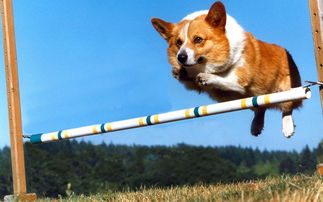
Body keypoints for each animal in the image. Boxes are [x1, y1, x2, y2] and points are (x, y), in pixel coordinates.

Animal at [152, 0, 304, 137]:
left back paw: (288, 127)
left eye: (198, 39)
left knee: (287, 107)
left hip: (286, 91)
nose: (181, 57)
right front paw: (180, 71)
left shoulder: (240, 80)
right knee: (260, 108)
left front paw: (207, 77)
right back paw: (256, 126)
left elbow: (222, 79)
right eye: (179, 42)